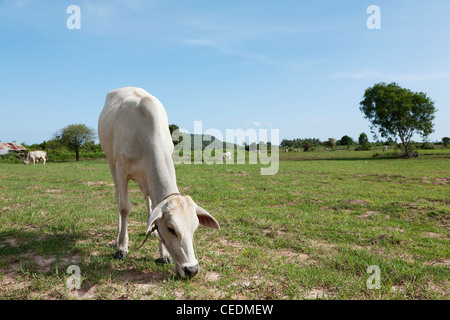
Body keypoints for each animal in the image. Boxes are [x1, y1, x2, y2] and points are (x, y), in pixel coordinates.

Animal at [98, 87, 220, 278]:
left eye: (194, 228)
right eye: (171, 229)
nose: (192, 270)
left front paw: (164, 255)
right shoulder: (121, 169)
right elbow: (124, 207)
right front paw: (122, 248)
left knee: (147, 198)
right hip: (111, 162)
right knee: (118, 196)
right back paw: (118, 237)